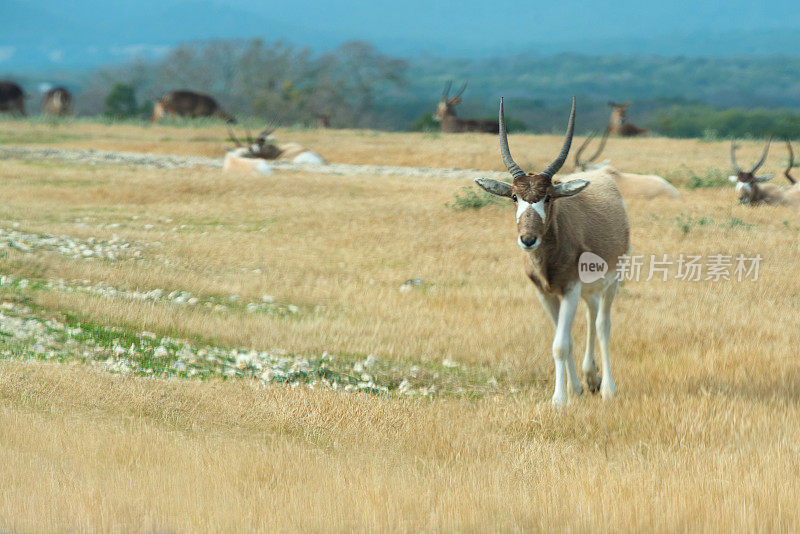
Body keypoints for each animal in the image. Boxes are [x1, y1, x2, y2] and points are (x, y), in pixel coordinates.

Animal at [476, 97, 632, 406]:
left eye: (548, 197)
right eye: (514, 196)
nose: (528, 239)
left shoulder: (570, 288)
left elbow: (560, 343)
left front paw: (558, 400)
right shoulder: (545, 292)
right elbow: (564, 339)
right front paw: (574, 390)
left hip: (612, 280)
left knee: (602, 325)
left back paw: (608, 389)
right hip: (589, 287)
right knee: (590, 314)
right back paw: (590, 378)